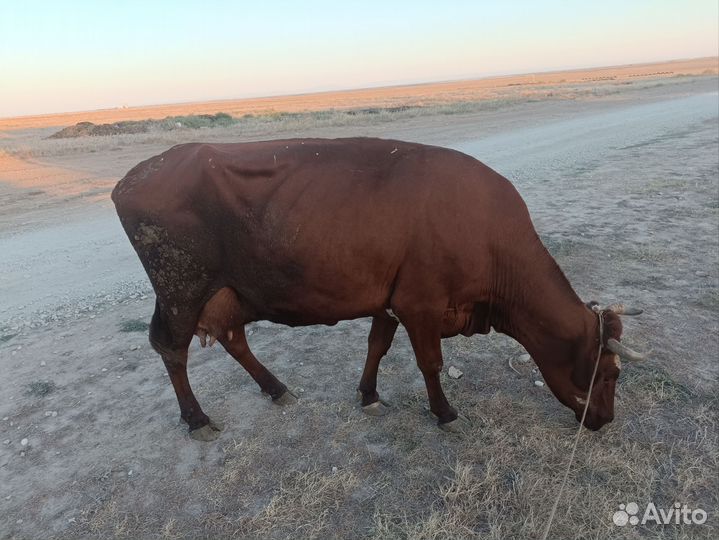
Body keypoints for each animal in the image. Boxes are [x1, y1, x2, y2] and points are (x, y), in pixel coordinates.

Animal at [112, 137, 647, 441]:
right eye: (608, 375)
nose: (605, 420)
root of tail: (136, 175)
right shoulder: (421, 303)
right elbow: (430, 363)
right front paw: (445, 413)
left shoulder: (391, 301)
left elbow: (377, 345)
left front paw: (368, 394)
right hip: (181, 289)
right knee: (172, 348)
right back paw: (197, 419)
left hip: (227, 292)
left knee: (231, 337)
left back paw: (276, 388)